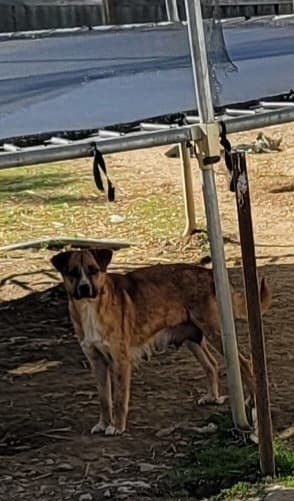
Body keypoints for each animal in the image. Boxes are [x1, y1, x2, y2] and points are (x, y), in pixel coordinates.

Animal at [51, 249, 272, 434]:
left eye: (94, 270)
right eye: (72, 272)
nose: (84, 288)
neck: (91, 306)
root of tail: (210, 274)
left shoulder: (120, 362)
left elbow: (119, 399)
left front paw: (117, 427)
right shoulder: (97, 362)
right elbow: (104, 399)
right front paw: (103, 424)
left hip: (217, 335)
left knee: (245, 362)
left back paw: (252, 400)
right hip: (192, 338)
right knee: (212, 364)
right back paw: (212, 397)